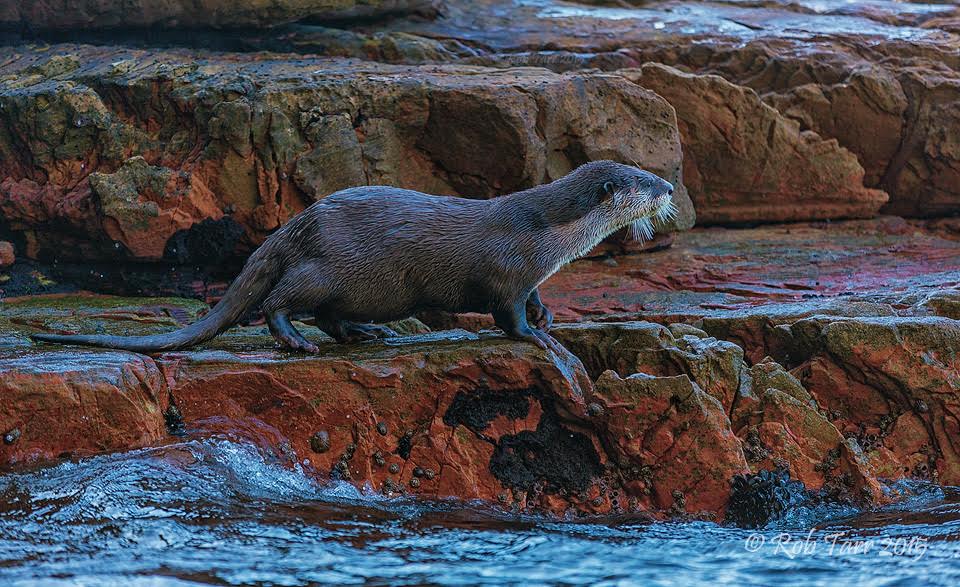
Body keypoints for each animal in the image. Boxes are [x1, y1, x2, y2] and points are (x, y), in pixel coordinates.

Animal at [32, 161, 676, 353]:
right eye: (642, 182)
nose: (670, 186)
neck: (547, 234)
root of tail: (296, 224)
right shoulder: (507, 273)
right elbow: (508, 316)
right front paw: (538, 336)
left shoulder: (533, 273)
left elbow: (537, 298)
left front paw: (549, 317)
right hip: (329, 267)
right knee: (280, 302)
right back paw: (296, 342)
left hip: (365, 287)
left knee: (329, 314)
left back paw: (365, 335)